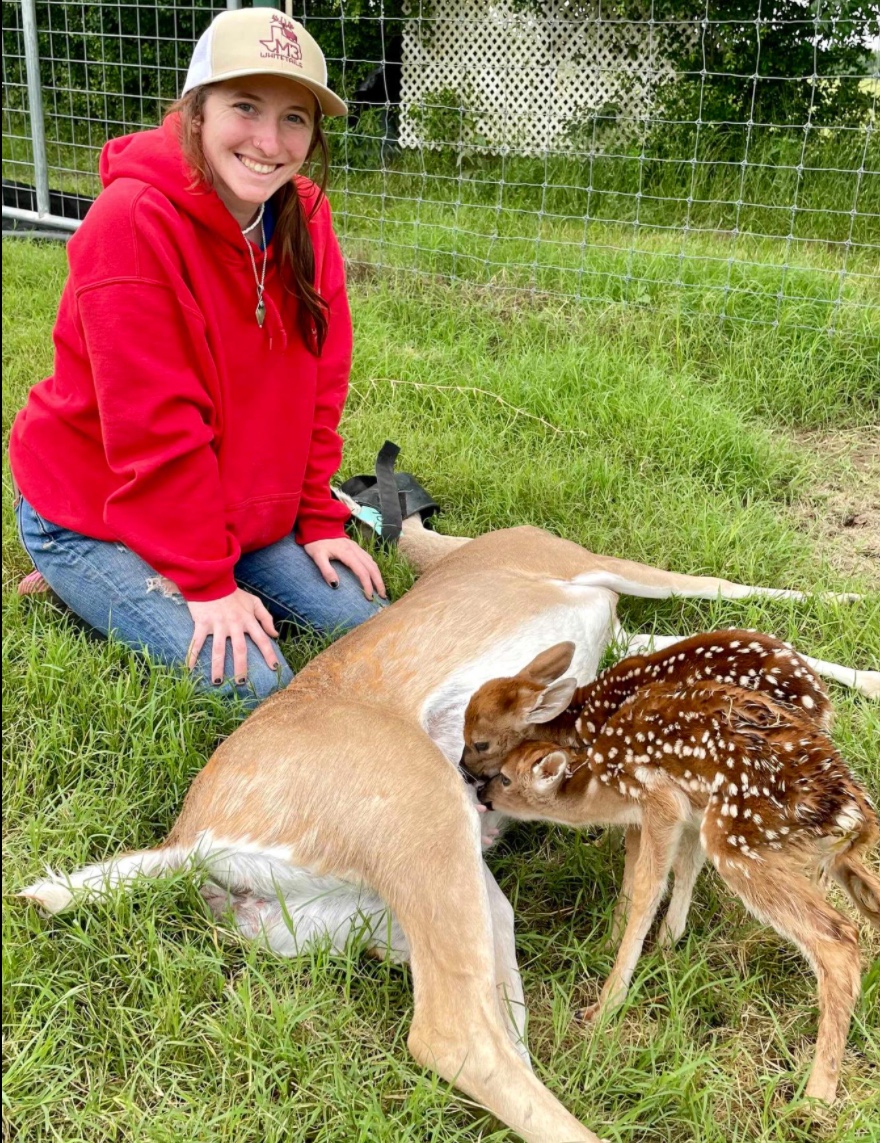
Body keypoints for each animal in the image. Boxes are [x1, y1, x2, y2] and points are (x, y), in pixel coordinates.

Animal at [474, 682, 880, 1105]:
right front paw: (660, 946)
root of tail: (857, 819)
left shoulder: (662, 800)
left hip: (738, 841)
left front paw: (604, 1006)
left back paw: (816, 1094)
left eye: (505, 778)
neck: (604, 788)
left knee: (837, 936)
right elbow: (681, 868)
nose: (480, 791)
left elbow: (647, 887)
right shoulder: (689, 812)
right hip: (814, 854)